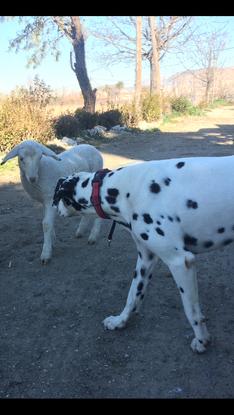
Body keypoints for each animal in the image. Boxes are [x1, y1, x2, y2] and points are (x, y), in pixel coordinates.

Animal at [52, 156, 234, 354]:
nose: (57, 210)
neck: (123, 190)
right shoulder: (146, 259)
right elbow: (133, 295)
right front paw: (120, 321)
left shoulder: (180, 262)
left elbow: (191, 311)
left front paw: (201, 341)